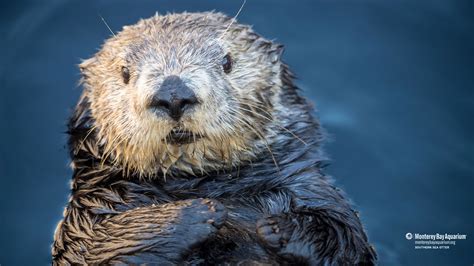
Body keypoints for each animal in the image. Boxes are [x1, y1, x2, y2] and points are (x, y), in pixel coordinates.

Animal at [52, 11, 378, 264]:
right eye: (124, 72)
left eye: (227, 62)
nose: (173, 94)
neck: (205, 184)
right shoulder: (86, 213)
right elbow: (92, 247)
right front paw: (198, 213)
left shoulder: (312, 188)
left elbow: (345, 235)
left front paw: (277, 229)